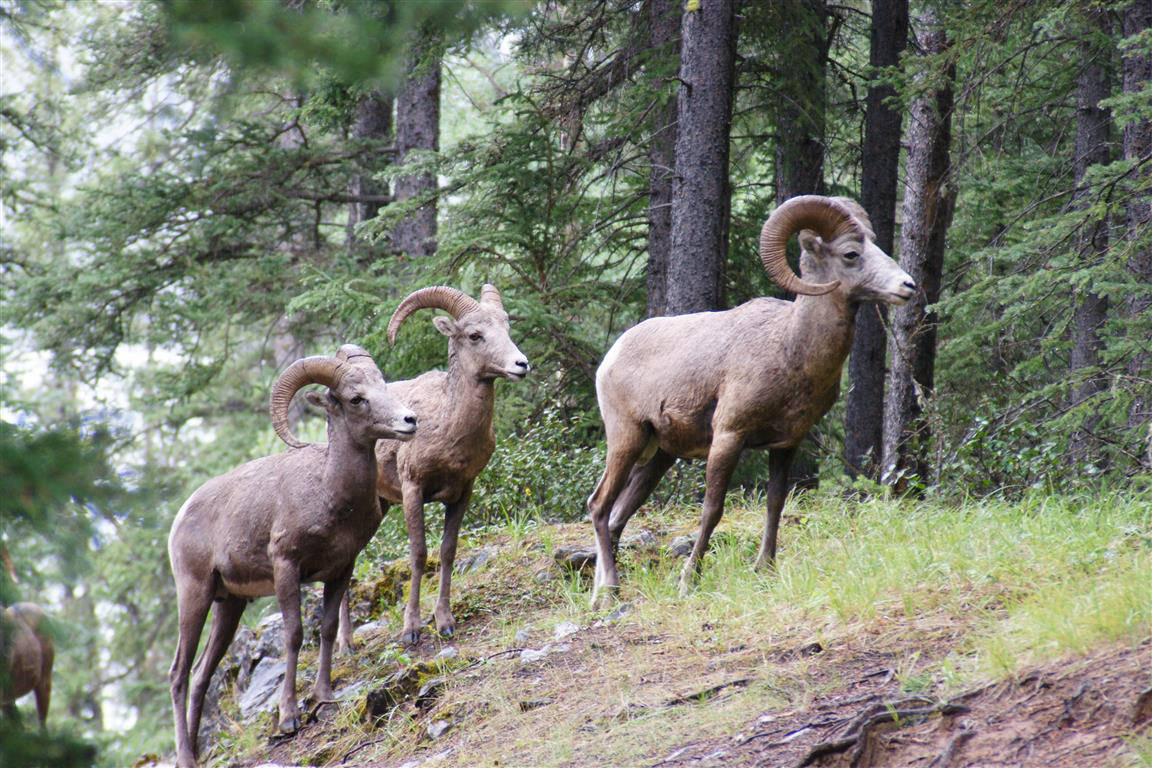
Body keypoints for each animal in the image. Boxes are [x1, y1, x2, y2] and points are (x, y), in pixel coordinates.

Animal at [162, 345, 414, 764]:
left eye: (382, 384)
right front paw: (288, 718)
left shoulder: (341, 569)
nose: (410, 421)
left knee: (200, 675)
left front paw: (325, 697)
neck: (329, 493)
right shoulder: (286, 568)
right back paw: (185, 758)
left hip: (230, 606)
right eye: (356, 399)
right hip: (194, 594)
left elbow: (327, 629)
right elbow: (294, 636)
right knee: (179, 674)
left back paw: (194, 751)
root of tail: (180, 519)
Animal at [336, 285, 527, 644]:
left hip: (380, 505)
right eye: (475, 335)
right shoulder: (414, 490)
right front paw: (411, 629)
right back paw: (345, 644)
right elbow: (420, 554)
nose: (521, 364)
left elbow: (448, 550)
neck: (447, 426)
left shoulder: (463, 492)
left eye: (506, 327)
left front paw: (444, 622)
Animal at [589, 196, 912, 607]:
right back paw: (610, 593)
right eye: (851, 253)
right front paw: (688, 581)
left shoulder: (786, 444)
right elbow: (712, 510)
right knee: (599, 507)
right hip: (626, 441)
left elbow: (775, 503)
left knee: (616, 517)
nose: (908, 286)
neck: (790, 348)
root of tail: (610, 359)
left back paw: (598, 595)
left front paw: (766, 569)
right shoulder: (729, 437)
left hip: (659, 456)